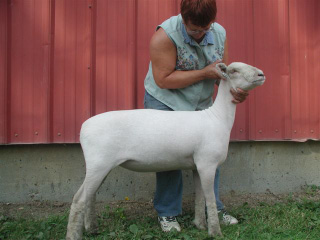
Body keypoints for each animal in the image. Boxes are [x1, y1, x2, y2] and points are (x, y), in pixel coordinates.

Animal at [65, 62, 264, 238]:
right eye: (234, 71)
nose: (261, 74)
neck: (217, 118)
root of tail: (84, 127)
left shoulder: (197, 165)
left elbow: (200, 198)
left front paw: (200, 225)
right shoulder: (207, 164)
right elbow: (210, 200)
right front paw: (215, 232)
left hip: (100, 166)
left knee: (90, 196)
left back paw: (92, 229)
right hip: (99, 163)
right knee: (79, 199)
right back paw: (73, 235)